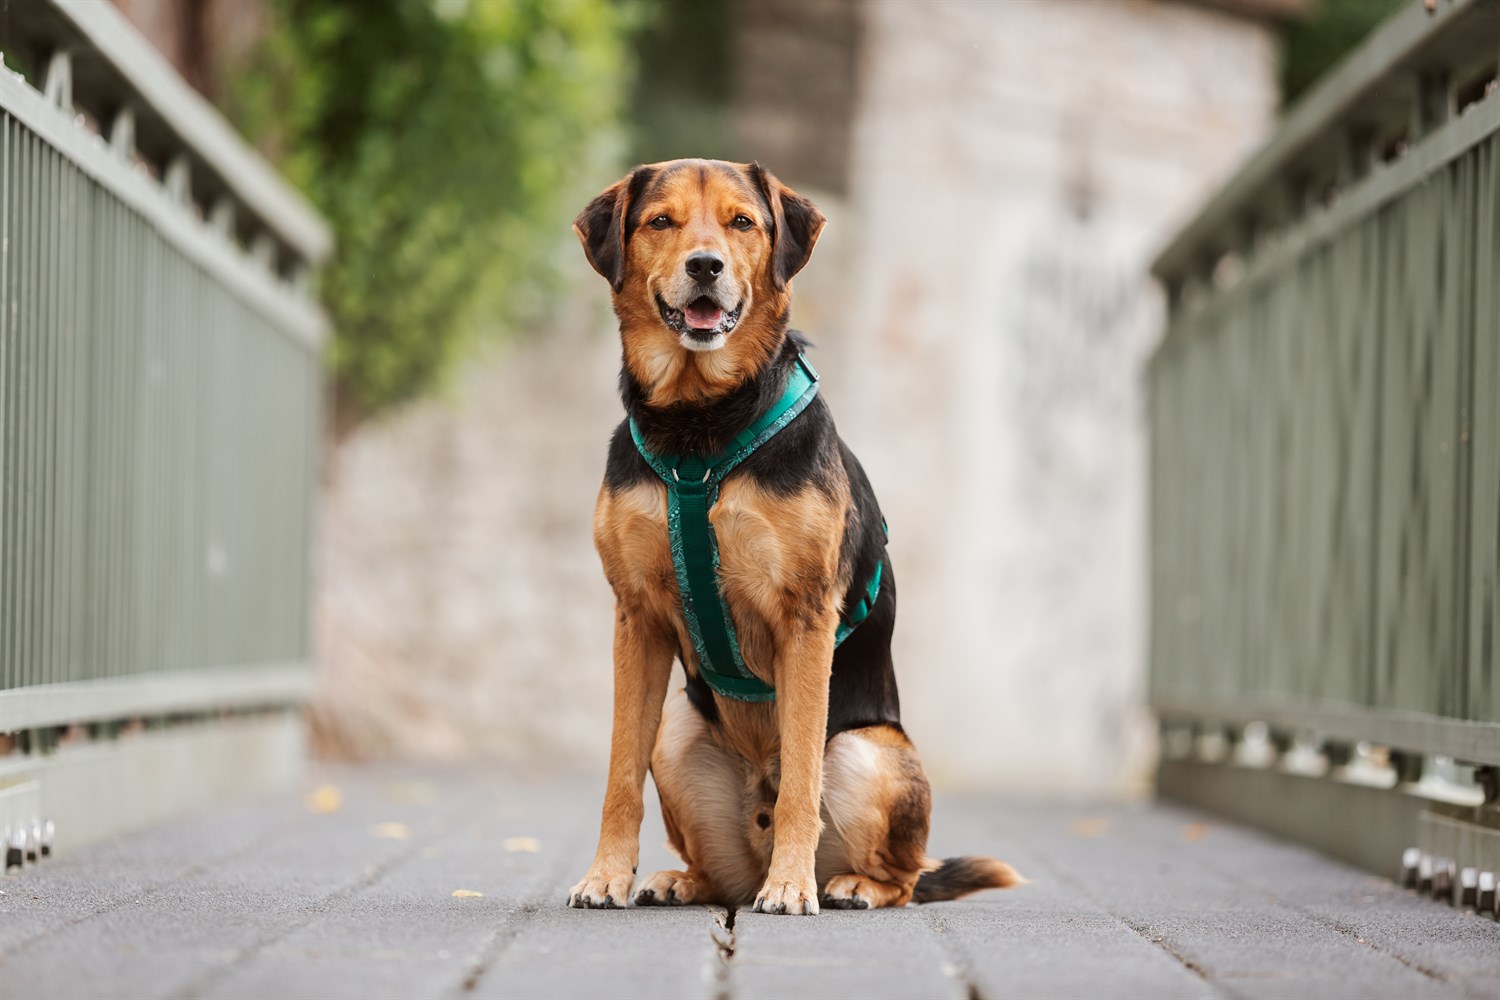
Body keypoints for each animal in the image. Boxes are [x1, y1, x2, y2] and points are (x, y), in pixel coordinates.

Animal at [564, 156, 1020, 917]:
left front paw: (791, 887)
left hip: (870, 750)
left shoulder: (804, 619)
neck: (699, 426)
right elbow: (619, 774)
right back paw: (680, 880)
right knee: (718, 871)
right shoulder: (638, 617)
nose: (706, 265)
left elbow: (803, 774)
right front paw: (606, 876)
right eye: (661, 221)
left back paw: (841, 883)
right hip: (677, 731)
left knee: (903, 876)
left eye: (742, 222)